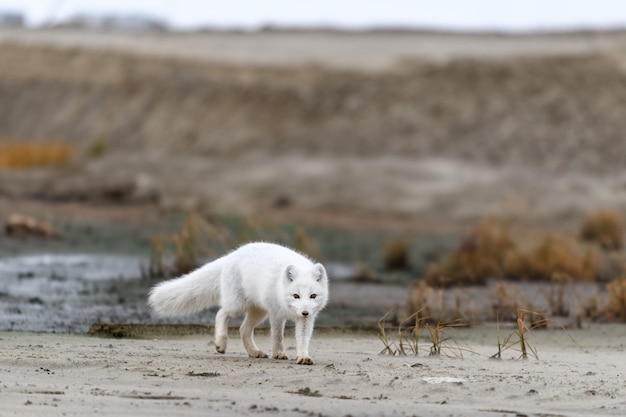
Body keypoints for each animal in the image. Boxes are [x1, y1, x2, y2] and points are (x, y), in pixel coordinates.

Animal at [148, 240, 330, 364]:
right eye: (296, 296)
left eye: (313, 296)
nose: (305, 312)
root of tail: (232, 254)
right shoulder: (275, 312)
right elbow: (278, 336)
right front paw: (278, 353)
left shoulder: (305, 320)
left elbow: (303, 339)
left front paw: (303, 356)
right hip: (238, 306)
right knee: (221, 313)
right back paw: (221, 343)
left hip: (258, 312)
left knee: (243, 329)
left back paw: (254, 352)